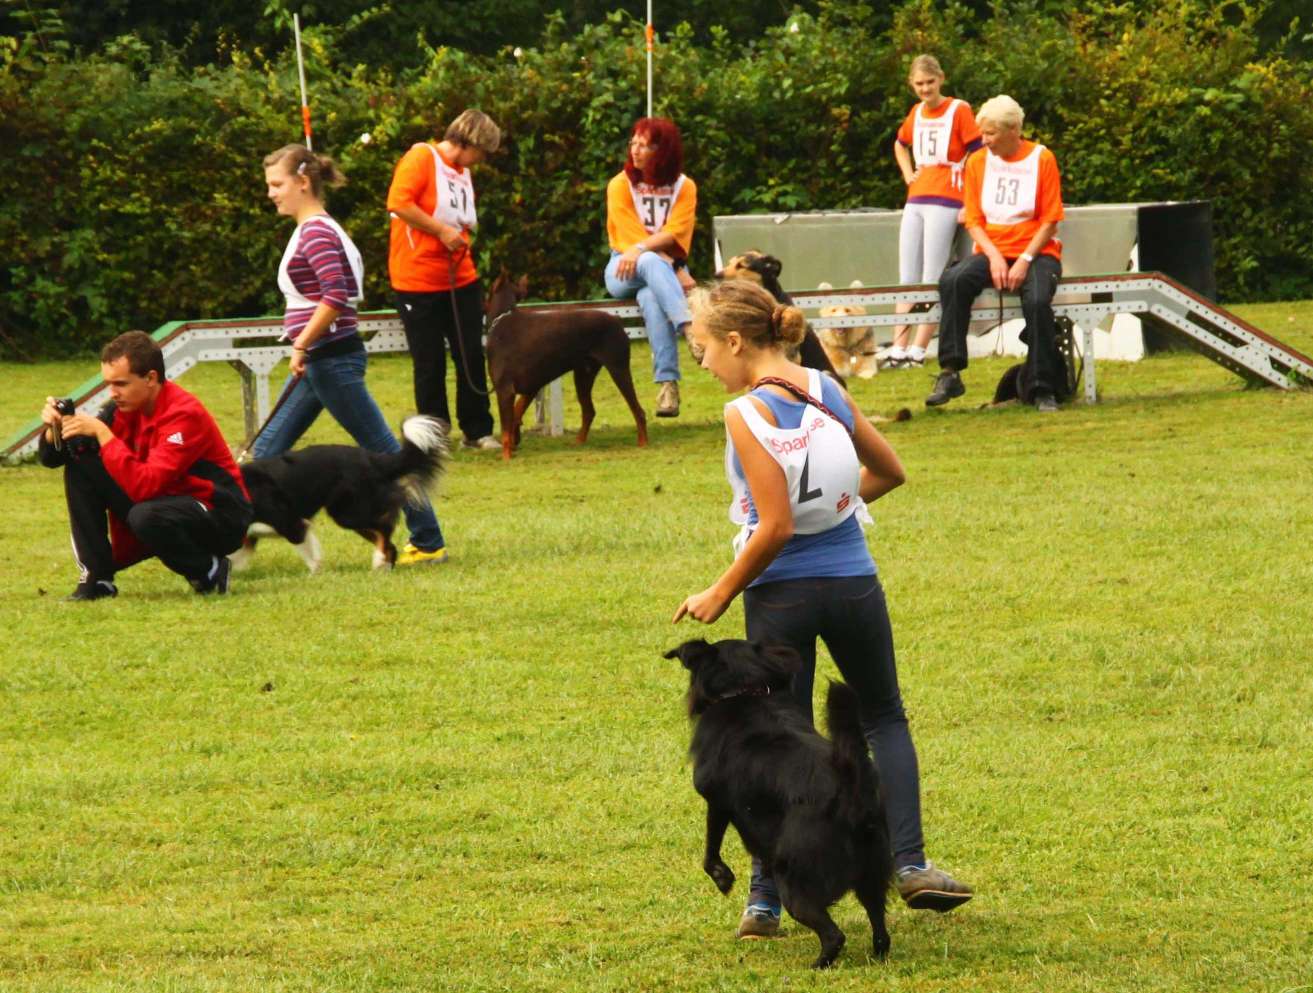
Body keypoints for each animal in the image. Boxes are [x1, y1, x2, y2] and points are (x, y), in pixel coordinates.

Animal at [485, 275, 648, 462]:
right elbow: (516, 413)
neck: (502, 318)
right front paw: (514, 441)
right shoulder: (531, 387)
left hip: (618, 368)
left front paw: (506, 455)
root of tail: (617, 321)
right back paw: (579, 441)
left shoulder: (505, 389)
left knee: (638, 410)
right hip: (584, 374)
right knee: (589, 411)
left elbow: (506, 426)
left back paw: (643, 442)